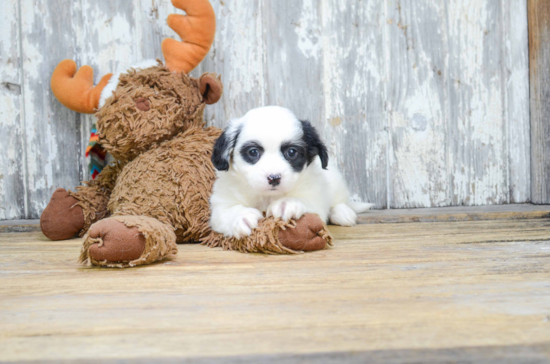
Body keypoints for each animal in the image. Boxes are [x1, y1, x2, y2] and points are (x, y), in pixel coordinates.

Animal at [209, 105, 374, 239]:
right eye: (253, 152)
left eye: (291, 152)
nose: (274, 178)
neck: (267, 196)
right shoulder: (221, 204)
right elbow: (227, 211)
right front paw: (241, 217)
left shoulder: (315, 200)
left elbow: (307, 203)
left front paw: (287, 203)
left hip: (336, 182)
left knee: (338, 201)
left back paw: (343, 213)